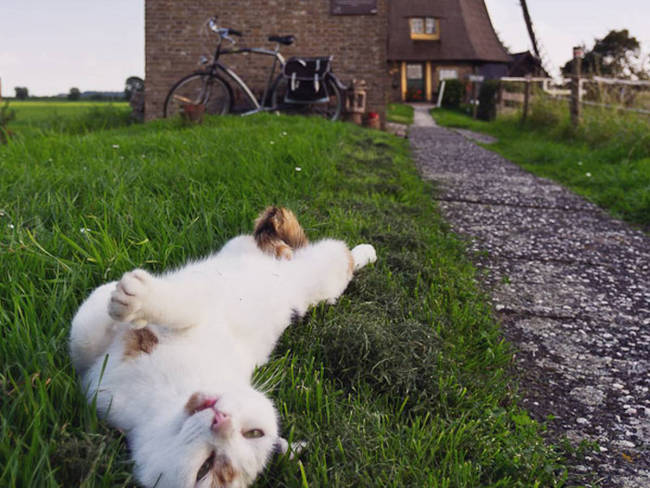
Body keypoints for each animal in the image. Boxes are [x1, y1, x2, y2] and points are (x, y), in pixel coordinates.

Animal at [69, 208, 374, 488]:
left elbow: (176, 307)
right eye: (254, 433)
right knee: (294, 241)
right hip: (249, 249)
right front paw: (126, 300)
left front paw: (135, 299)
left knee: (343, 256)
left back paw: (363, 252)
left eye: (207, 468)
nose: (222, 420)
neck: (163, 395)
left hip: (327, 277)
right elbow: (83, 336)